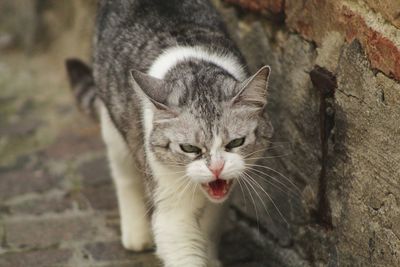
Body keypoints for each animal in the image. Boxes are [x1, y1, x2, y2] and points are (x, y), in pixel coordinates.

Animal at [65, 0, 274, 267]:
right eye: (189, 148)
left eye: (236, 142)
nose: (216, 168)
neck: (194, 68)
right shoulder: (170, 203)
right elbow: (182, 246)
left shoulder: (221, 198)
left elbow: (209, 230)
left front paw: (211, 258)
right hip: (114, 125)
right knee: (123, 173)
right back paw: (136, 234)